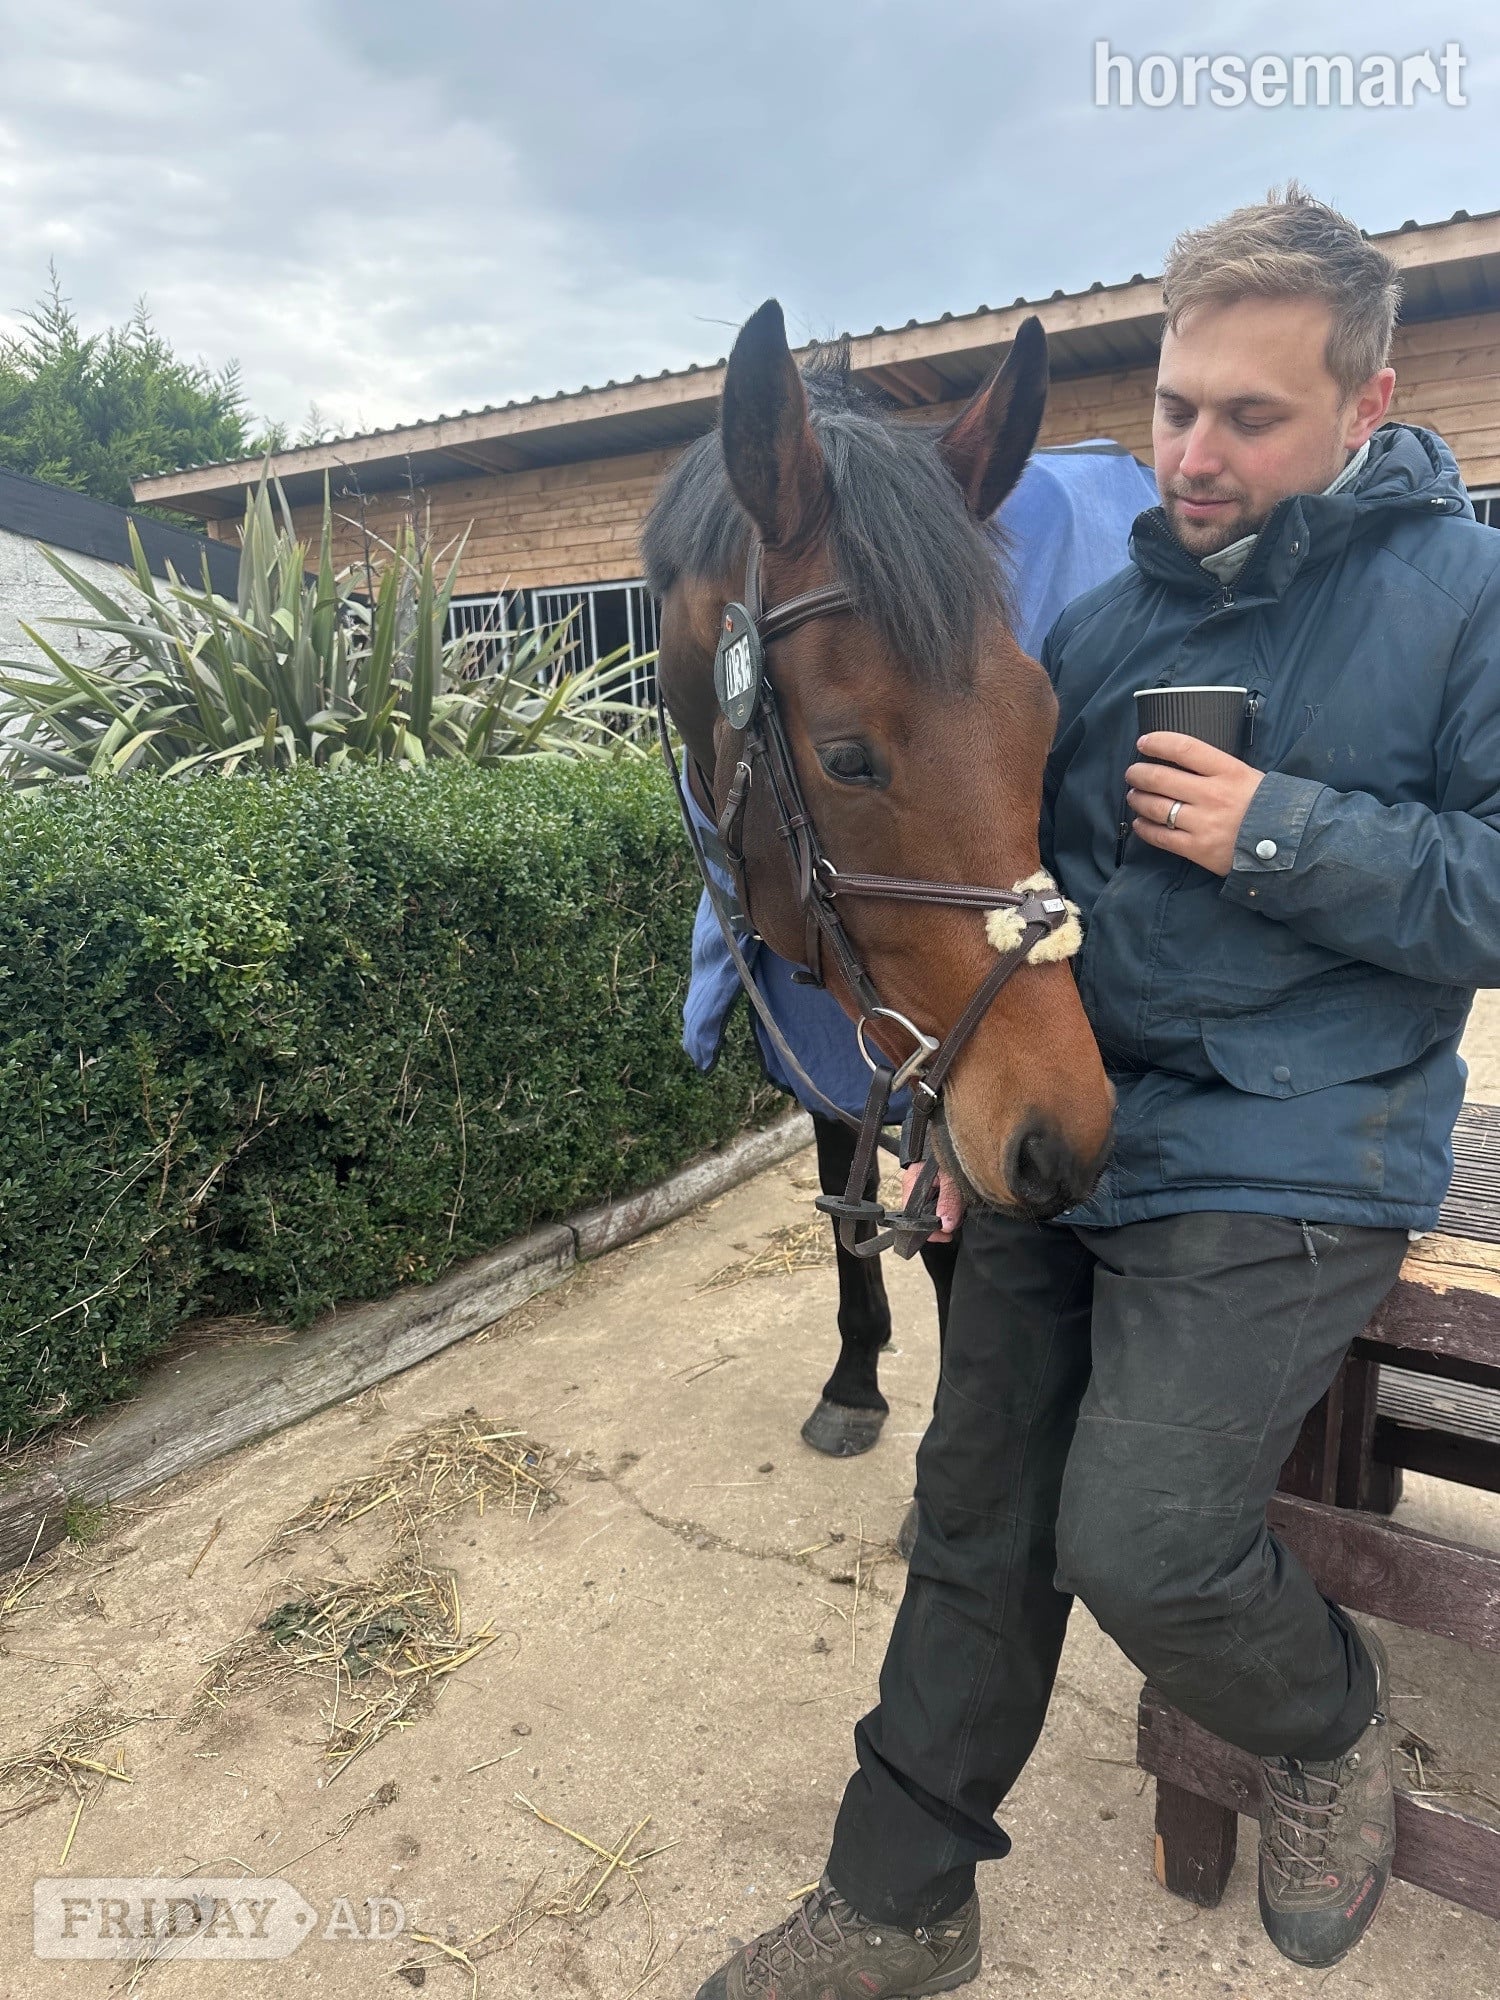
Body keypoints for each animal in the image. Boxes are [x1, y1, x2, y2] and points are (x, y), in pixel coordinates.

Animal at [642, 301, 1116, 1374]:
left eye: (1047, 719)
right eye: (847, 758)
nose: (1064, 1136)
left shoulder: (929, 1081)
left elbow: (941, 1242)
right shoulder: (839, 1054)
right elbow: (840, 1183)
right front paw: (856, 1368)